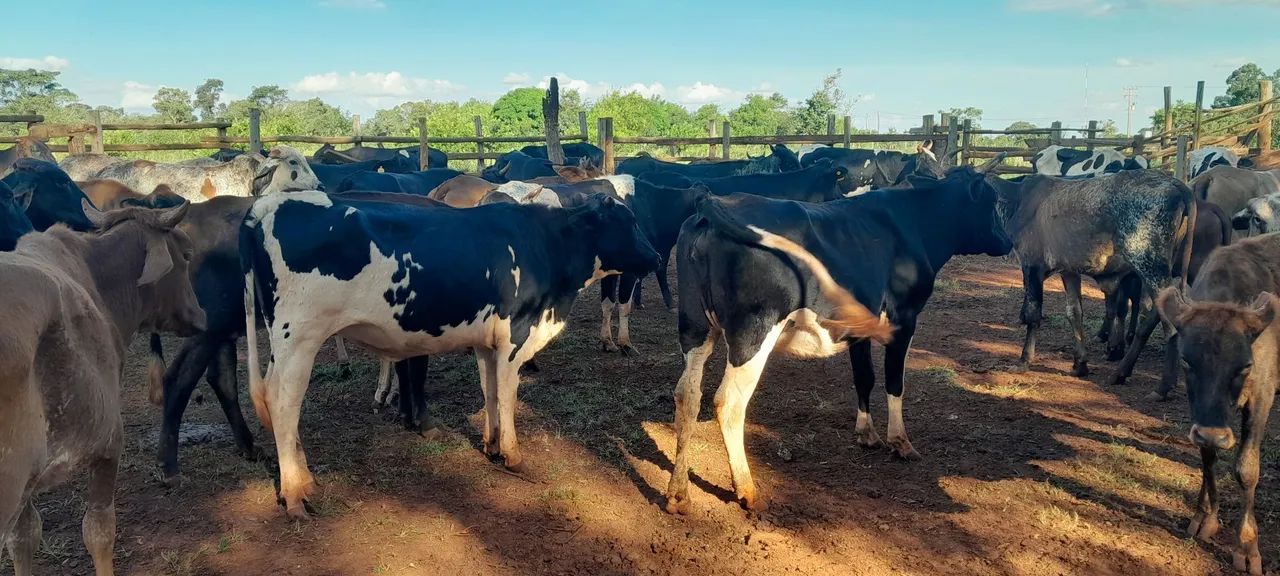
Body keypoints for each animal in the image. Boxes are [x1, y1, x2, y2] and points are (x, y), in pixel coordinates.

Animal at [0, 201, 205, 576]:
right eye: (186, 254)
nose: (201, 316)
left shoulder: (29, 485)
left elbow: (23, 538)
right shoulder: (109, 443)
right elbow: (99, 530)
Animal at [241, 191, 659, 518]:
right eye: (625, 222)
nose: (656, 257)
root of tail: (265, 204)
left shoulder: (487, 343)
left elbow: (490, 392)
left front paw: (492, 445)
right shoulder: (515, 337)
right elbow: (507, 396)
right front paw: (513, 455)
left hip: (286, 346)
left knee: (274, 398)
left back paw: (305, 481)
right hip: (299, 339)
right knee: (284, 405)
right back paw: (294, 495)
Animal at [664, 161, 1011, 514]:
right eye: (995, 202)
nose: (1008, 241)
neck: (912, 222)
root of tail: (712, 204)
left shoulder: (860, 329)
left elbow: (864, 377)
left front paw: (866, 434)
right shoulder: (904, 320)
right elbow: (894, 382)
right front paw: (900, 442)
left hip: (695, 326)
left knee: (687, 395)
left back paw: (678, 494)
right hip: (754, 331)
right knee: (729, 401)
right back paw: (747, 490)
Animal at [987, 170, 1196, 392]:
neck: (1018, 199)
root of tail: (1175, 183)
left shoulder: (1031, 266)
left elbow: (1033, 313)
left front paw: (1024, 360)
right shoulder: (1068, 271)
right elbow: (1074, 312)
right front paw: (1080, 364)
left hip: (1149, 268)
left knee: (1170, 326)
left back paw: (1161, 387)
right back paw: (1122, 372)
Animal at [1154, 233, 1280, 575]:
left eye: (1244, 366)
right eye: (1186, 360)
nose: (1214, 433)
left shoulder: (1262, 397)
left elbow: (1246, 468)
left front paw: (1247, 547)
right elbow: (1207, 456)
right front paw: (1205, 517)